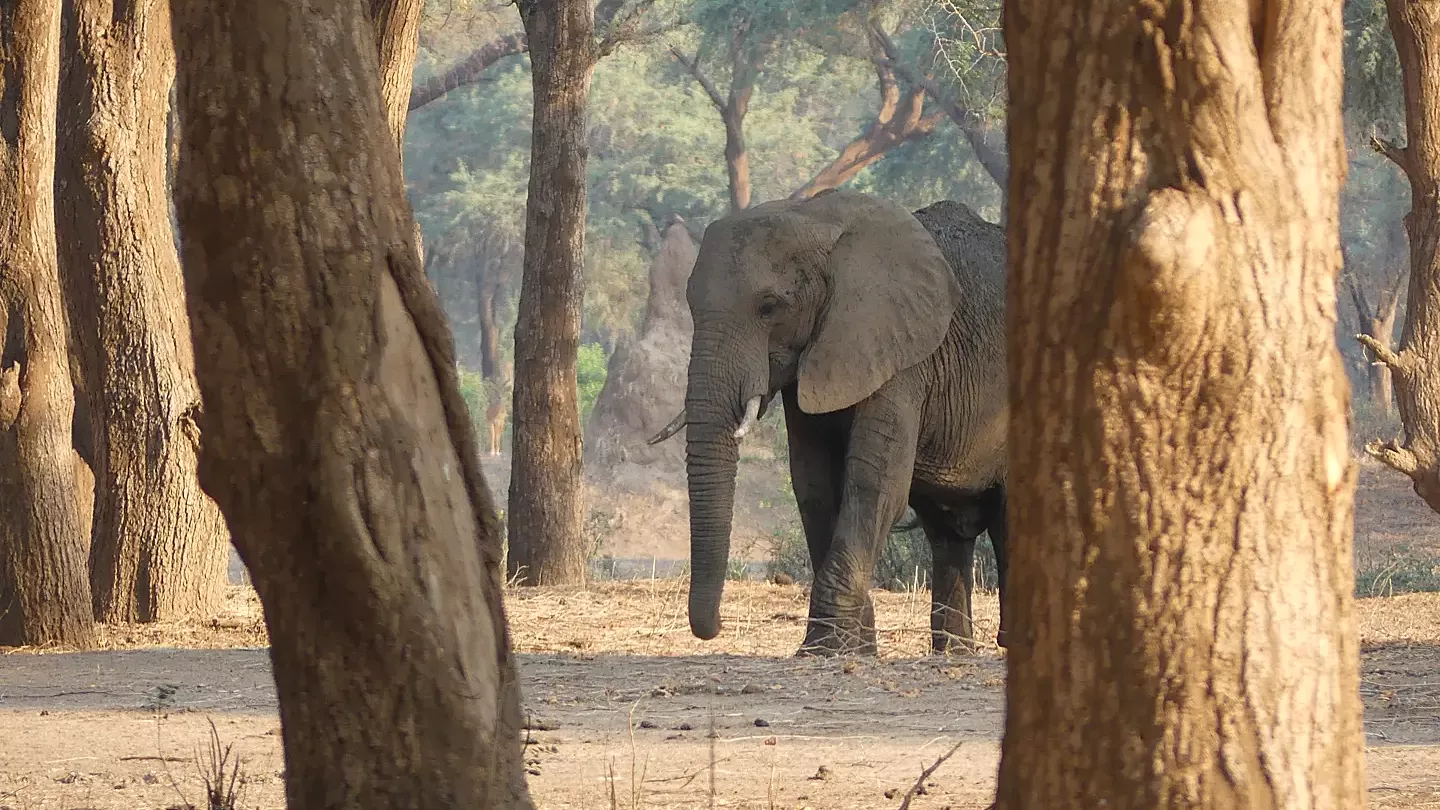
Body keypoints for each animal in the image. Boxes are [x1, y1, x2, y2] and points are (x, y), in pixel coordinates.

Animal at [648, 189, 1009, 657]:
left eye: (769, 307)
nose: (714, 627)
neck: (818, 220)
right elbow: (814, 484)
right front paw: (849, 650)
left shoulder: (902, 356)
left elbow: (875, 484)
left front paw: (824, 649)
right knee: (946, 532)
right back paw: (953, 652)